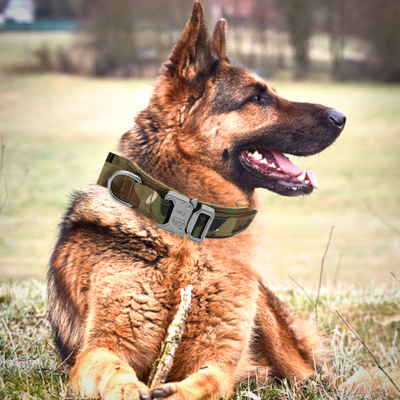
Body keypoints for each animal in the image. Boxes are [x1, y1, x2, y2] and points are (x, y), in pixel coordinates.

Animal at [47, 1, 346, 398]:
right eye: (257, 97)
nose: (341, 117)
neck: (186, 229)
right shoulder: (99, 349)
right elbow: (114, 372)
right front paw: (131, 389)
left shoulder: (217, 357)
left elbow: (209, 379)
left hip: (268, 319)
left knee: (305, 372)